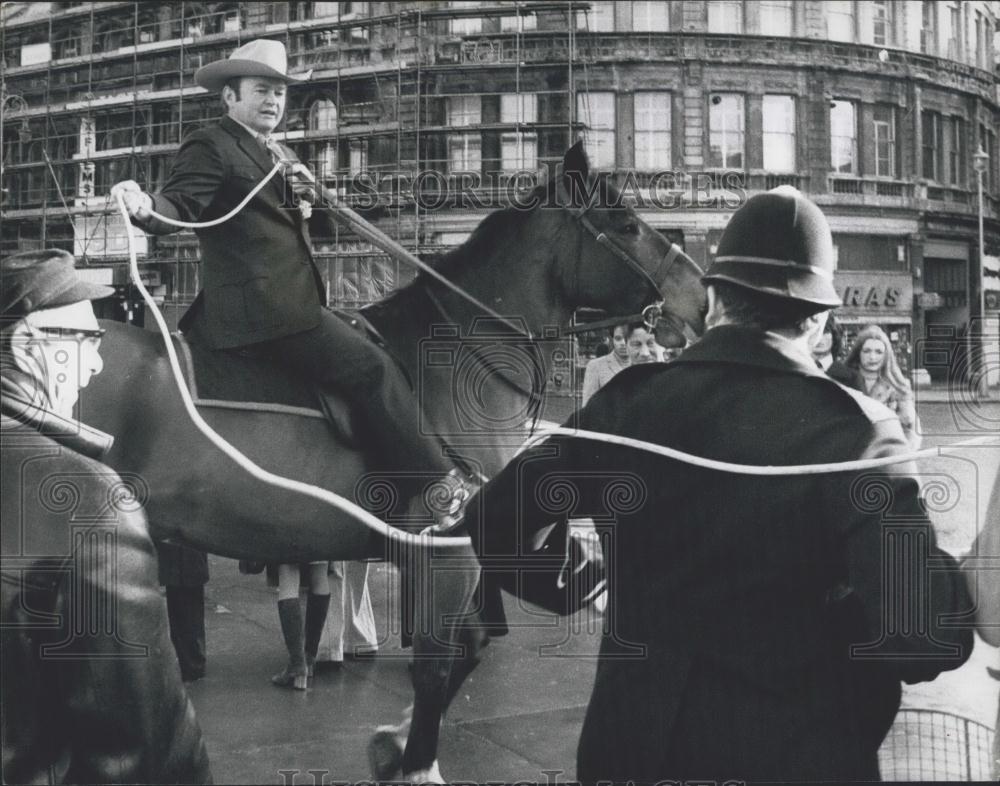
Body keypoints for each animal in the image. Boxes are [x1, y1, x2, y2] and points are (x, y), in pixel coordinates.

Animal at [80, 145, 704, 776]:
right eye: (627, 225)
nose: (701, 291)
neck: (461, 365)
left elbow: (468, 648)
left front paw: (397, 743)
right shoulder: (447, 552)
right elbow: (436, 665)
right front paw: (416, 762)